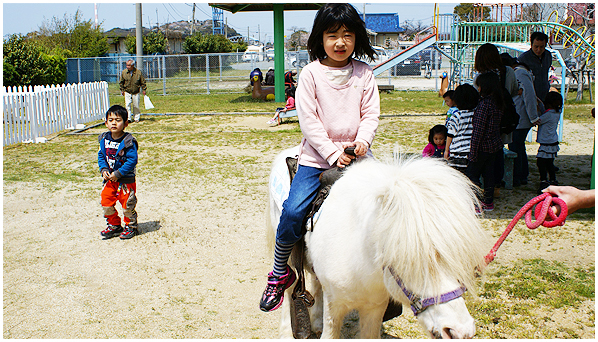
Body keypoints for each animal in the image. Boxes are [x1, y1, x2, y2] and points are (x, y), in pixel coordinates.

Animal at [268, 146, 492, 338]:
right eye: (408, 260)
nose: (458, 331)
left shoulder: (374, 308)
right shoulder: (334, 305)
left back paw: (315, 322)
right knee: (289, 286)